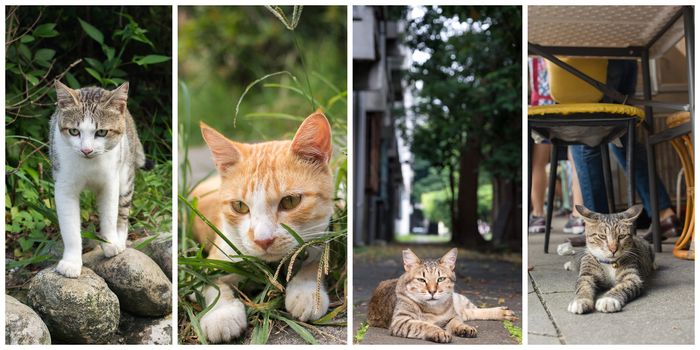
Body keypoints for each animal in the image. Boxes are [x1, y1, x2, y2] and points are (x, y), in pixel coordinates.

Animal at [51, 80, 146, 278]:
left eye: (101, 132)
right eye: (74, 131)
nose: (86, 150)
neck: (89, 164)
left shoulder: (110, 181)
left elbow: (109, 215)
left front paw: (110, 243)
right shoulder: (64, 185)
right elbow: (70, 227)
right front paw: (71, 262)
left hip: (125, 172)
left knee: (123, 211)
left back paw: (120, 239)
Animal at [190, 111, 334, 342]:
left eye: (290, 201)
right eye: (239, 206)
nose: (262, 240)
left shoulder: (320, 237)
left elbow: (314, 264)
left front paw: (306, 292)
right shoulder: (213, 262)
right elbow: (212, 284)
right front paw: (221, 315)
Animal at [366, 247, 516, 344]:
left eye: (441, 279)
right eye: (422, 280)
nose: (432, 291)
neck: (435, 309)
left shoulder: (452, 315)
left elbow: (456, 322)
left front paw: (463, 328)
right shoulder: (401, 321)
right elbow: (423, 325)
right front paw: (439, 331)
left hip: (459, 299)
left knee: (473, 310)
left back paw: (502, 313)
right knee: (469, 313)